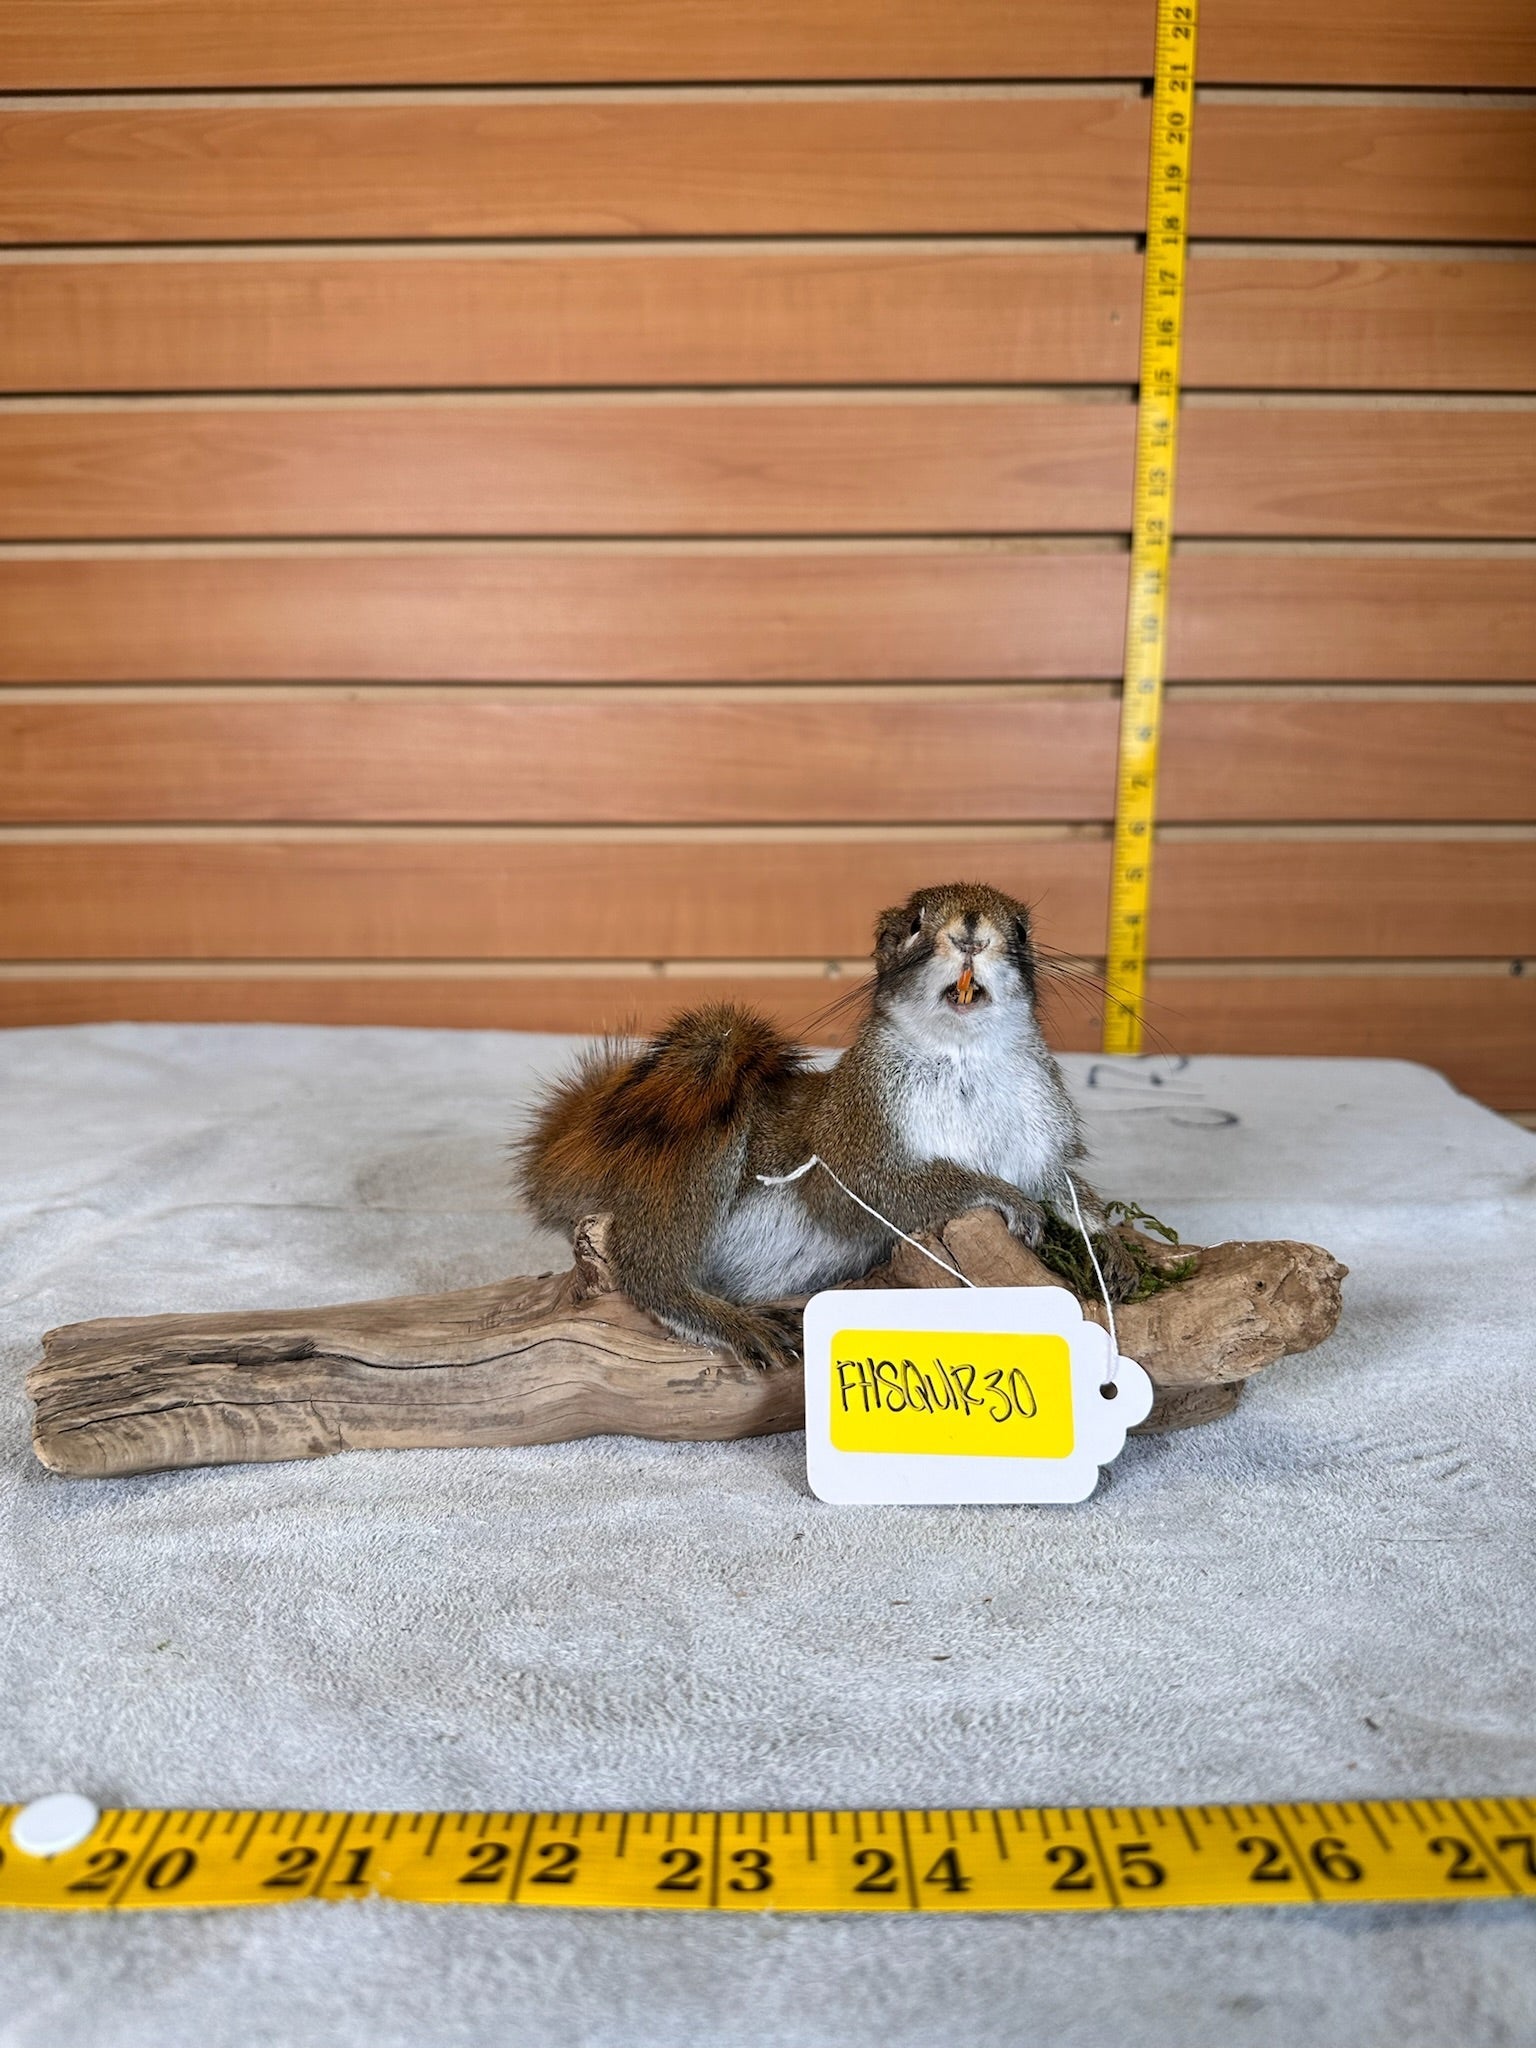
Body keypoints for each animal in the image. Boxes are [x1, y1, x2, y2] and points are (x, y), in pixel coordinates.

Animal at [516, 880, 1138, 1371]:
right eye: (913, 924)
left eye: (1023, 930)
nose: (970, 936)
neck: (962, 1053)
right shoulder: (852, 1131)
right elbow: (882, 1188)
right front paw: (1004, 1197)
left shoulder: (1040, 1137)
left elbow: (1065, 1186)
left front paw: (1112, 1246)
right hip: (699, 1145)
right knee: (645, 1261)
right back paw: (723, 1317)